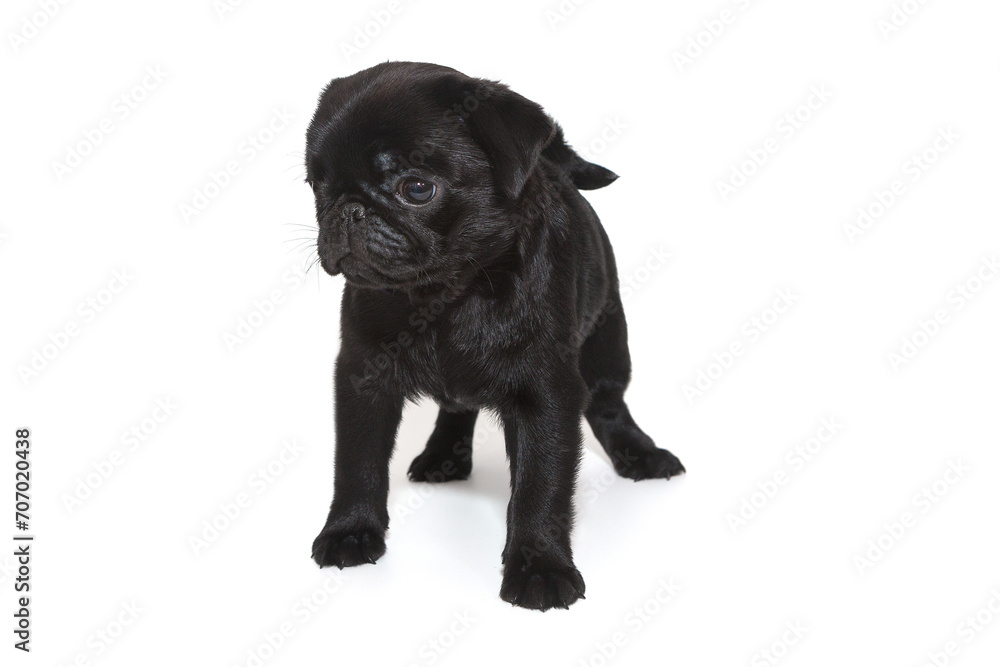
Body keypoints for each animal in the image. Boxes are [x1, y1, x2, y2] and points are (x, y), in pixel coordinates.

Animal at [305, 61, 684, 610]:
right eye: (317, 185)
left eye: (416, 188)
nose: (348, 210)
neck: (447, 294)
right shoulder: (362, 376)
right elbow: (358, 461)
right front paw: (350, 530)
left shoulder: (546, 393)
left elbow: (539, 486)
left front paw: (540, 566)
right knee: (456, 407)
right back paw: (443, 454)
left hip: (608, 340)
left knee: (610, 403)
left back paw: (641, 454)